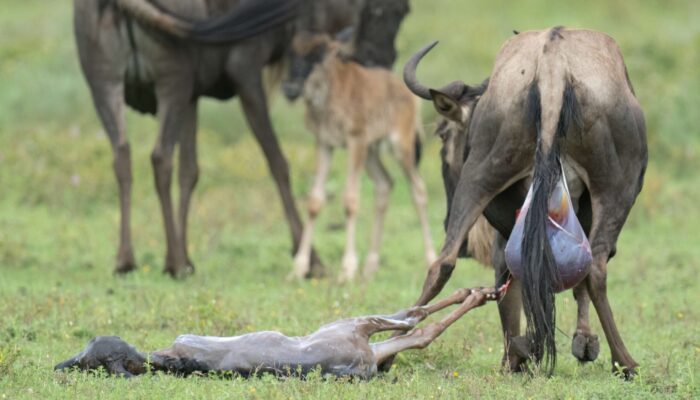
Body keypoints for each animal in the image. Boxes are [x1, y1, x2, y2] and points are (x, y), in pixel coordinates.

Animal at [280, 33, 434, 282]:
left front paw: (347, 269)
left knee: (417, 189)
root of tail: (407, 93)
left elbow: (350, 200)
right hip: (371, 152)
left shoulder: (356, 140)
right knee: (384, 184)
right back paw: (370, 265)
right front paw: (298, 268)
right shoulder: (324, 143)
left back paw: (431, 259)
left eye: (318, 57)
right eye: (290, 54)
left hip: (400, 147)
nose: (290, 88)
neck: (328, 96)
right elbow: (314, 201)